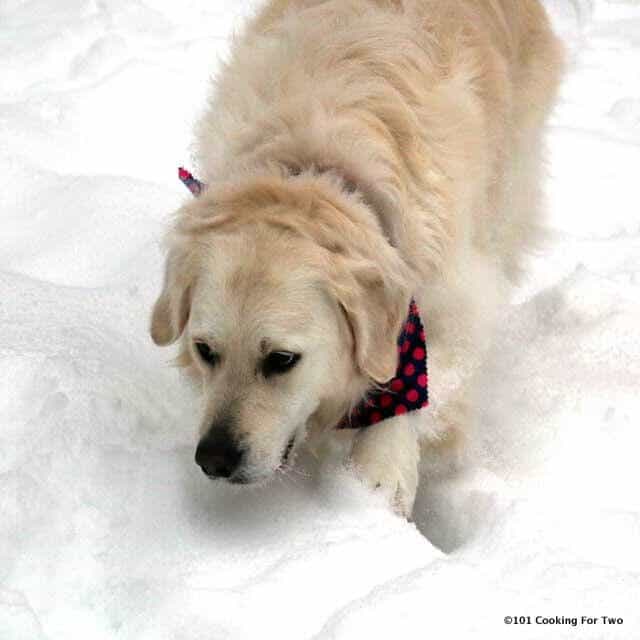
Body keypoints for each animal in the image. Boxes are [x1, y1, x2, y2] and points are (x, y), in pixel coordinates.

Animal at [151, 0, 564, 516]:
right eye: (205, 350)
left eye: (282, 360)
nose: (214, 459)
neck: (313, 169)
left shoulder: (458, 302)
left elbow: (415, 384)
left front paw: (382, 474)